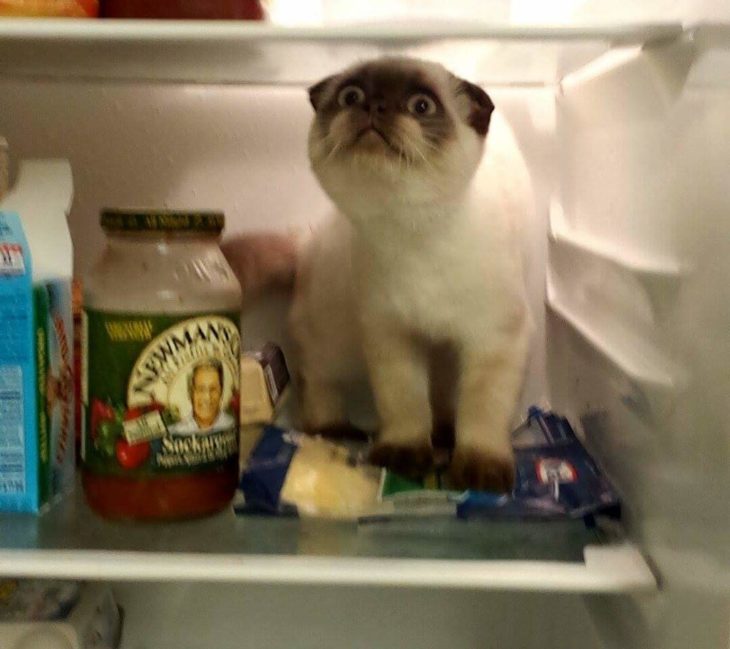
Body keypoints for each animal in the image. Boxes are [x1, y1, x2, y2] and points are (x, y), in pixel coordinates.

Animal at [225, 57, 532, 492]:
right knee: (317, 378)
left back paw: (443, 435)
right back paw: (333, 431)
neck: (412, 233)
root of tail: (309, 239)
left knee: (444, 400)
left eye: (421, 106)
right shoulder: (392, 336)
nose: (374, 106)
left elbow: (482, 412)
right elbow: (404, 404)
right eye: (351, 96)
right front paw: (405, 457)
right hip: (336, 340)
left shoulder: (493, 339)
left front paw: (478, 473)